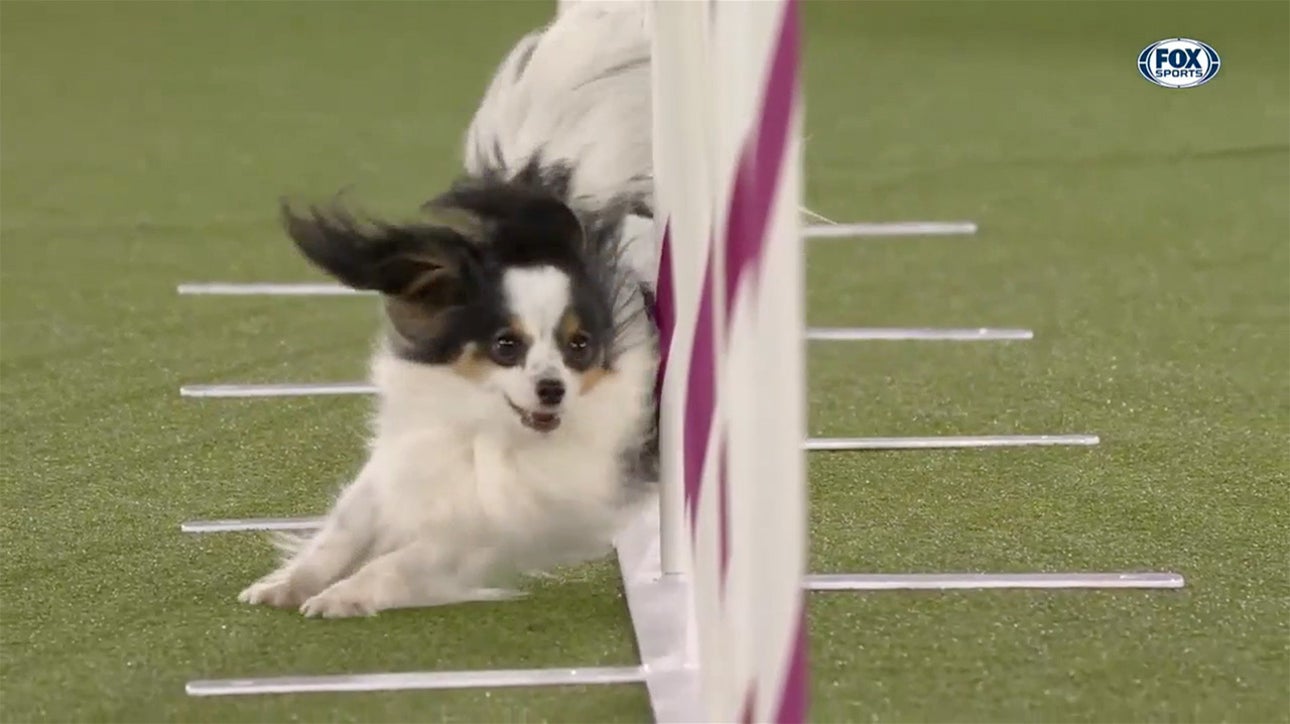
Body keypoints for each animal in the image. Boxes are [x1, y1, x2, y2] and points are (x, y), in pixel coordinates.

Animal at [238, 0, 660, 614]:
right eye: (505, 345)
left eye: (580, 347)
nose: (553, 389)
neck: (490, 426)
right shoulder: (403, 463)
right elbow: (343, 531)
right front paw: (288, 584)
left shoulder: (494, 530)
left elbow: (406, 558)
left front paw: (345, 597)